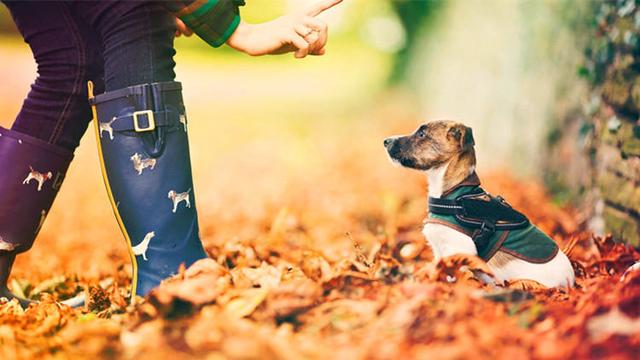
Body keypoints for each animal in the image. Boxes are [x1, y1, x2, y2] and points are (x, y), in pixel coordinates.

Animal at [384, 119, 576, 288]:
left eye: (422, 134)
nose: (386, 141)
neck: (453, 195)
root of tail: (570, 282)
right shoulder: (440, 252)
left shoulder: (459, 252)